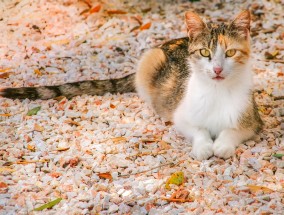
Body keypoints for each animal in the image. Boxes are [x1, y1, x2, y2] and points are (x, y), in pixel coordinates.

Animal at [0, 10, 262, 161]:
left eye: (230, 53)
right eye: (205, 52)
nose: (217, 69)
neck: (217, 92)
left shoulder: (252, 121)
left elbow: (232, 130)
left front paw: (222, 145)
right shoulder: (181, 115)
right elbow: (197, 130)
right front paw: (204, 146)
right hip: (149, 61)